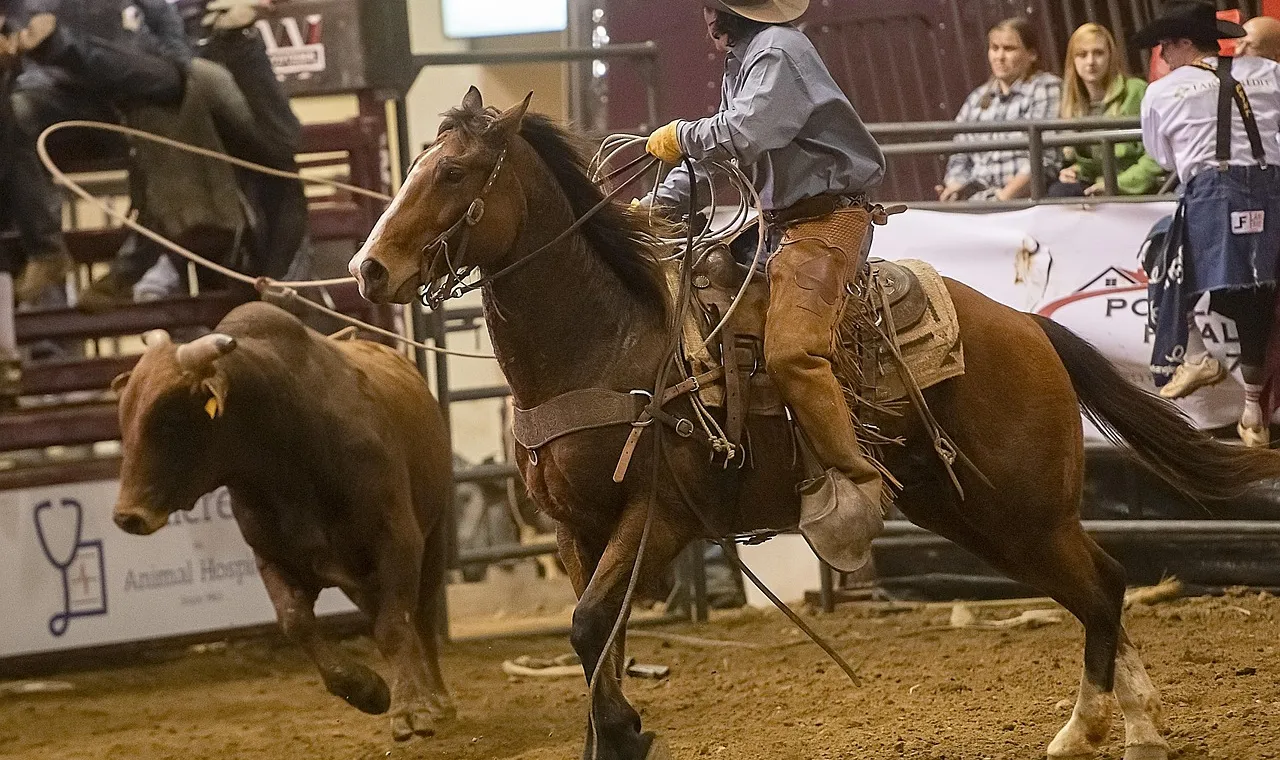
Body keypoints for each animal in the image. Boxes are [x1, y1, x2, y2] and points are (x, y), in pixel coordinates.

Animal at [348, 88, 1280, 760]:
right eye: (420, 164)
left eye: (455, 174)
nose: (368, 269)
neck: (606, 343)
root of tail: (1026, 326)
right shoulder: (575, 530)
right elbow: (596, 644)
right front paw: (614, 731)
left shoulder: (657, 517)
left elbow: (586, 628)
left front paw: (625, 736)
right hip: (976, 514)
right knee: (1101, 584)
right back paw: (1126, 727)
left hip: (1022, 510)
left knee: (1103, 585)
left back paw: (1103, 729)